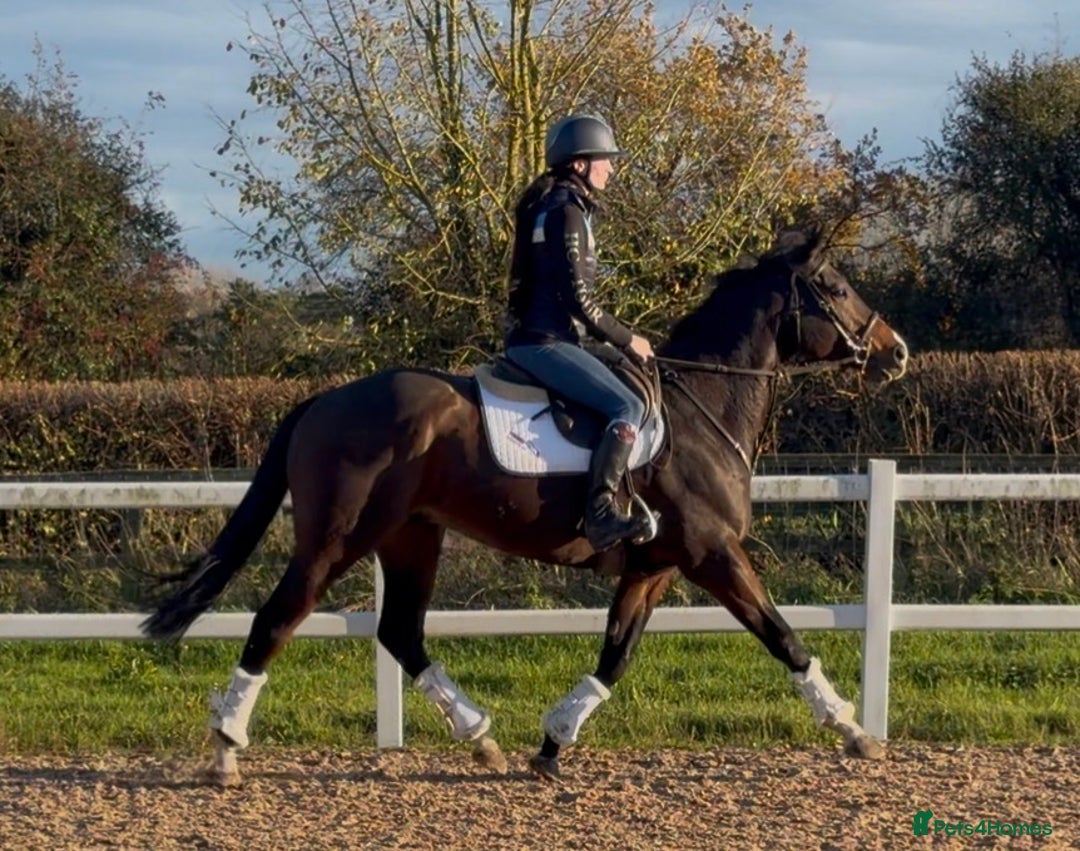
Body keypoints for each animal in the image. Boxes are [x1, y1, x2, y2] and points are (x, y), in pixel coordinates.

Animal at [142, 226, 909, 785]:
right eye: (834, 286)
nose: (896, 352)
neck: (702, 406)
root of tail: (322, 401)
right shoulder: (711, 554)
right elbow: (783, 636)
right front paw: (851, 729)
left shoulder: (654, 565)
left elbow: (615, 656)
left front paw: (552, 743)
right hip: (334, 541)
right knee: (276, 620)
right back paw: (225, 748)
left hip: (411, 537)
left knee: (401, 633)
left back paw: (481, 738)